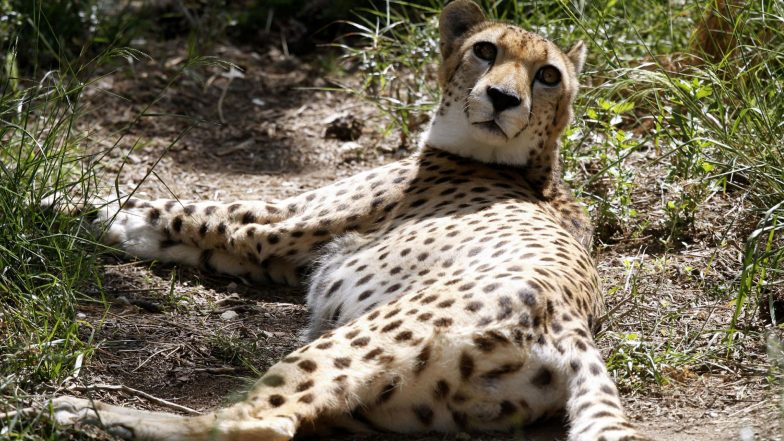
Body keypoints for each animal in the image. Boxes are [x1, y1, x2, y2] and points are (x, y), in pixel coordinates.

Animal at [48, 1, 654, 440]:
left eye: (547, 75)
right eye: (485, 50)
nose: (504, 98)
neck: (520, 165)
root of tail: (573, 328)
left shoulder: (271, 229)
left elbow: (185, 210)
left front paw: (59, 207)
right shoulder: (282, 249)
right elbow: (180, 224)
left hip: (352, 343)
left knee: (257, 422)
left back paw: (83, 412)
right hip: (397, 406)